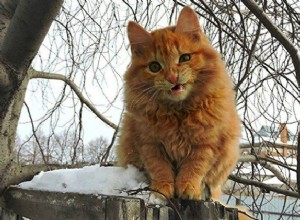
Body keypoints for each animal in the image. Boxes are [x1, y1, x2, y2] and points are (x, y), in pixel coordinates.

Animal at [116, 6, 240, 201]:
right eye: (154, 67)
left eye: (185, 58)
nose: (172, 77)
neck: (178, 112)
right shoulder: (150, 143)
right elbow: (160, 168)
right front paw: (162, 189)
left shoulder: (206, 144)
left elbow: (194, 168)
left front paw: (188, 188)